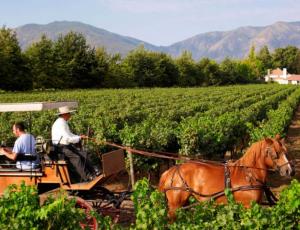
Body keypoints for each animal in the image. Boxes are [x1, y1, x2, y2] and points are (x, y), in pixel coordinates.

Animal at [159, 136, 296, 218]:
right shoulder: (248, 207)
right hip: (175, 206)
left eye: (285, 151)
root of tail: (170, 171)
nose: (290, 170)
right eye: (275, 153)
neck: (249, 175)